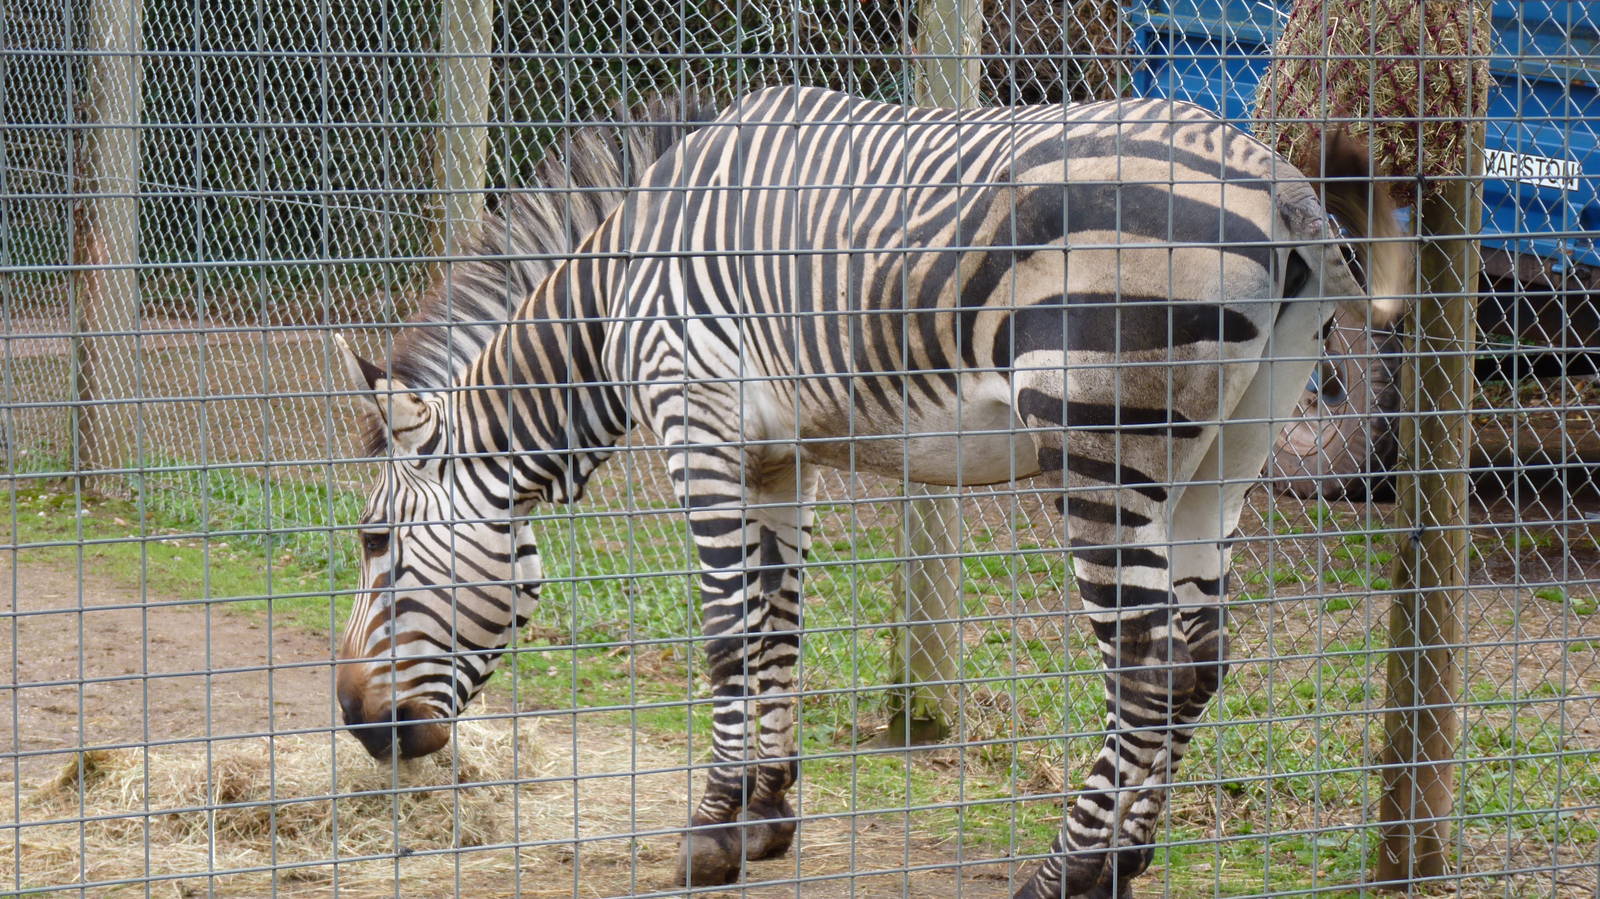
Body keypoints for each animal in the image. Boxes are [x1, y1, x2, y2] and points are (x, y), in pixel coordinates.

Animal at [334, 85, 1406, 898]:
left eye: (375, 541)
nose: (357, 726)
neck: (612, 295)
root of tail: (1276, 175)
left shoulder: (695, 419)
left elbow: (726, 632)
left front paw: (710, 836)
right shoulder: (779, 455)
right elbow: (778, 625)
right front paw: (767, 815)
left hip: (1094, 436)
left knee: (1146, 667)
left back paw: (1066, 876)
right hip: (1229, 452)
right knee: (1200, 656)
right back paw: (1127, 858)